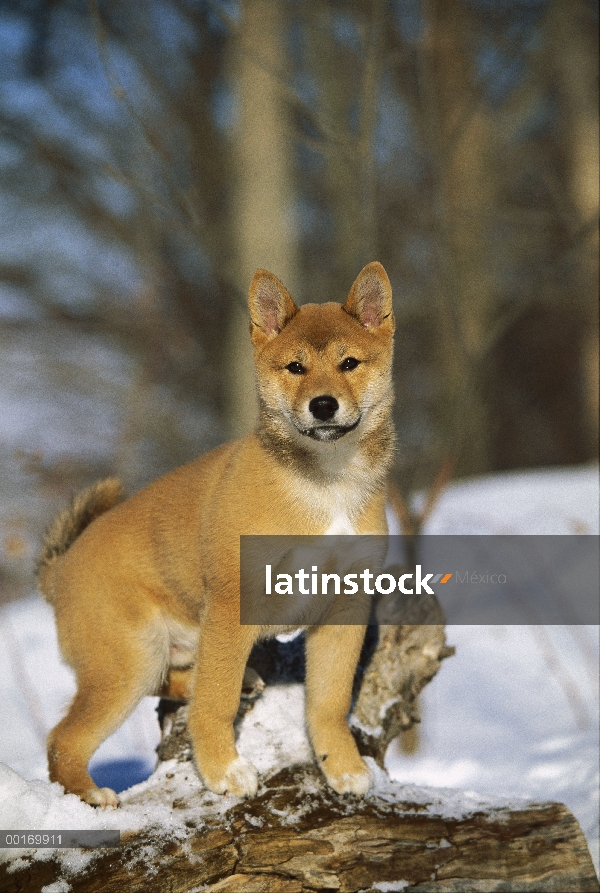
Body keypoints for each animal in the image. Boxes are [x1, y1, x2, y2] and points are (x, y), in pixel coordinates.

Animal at [37, 262, 394, 804]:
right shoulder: (233, 601)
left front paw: (343, 767)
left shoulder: (342, 609)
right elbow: (216, 704)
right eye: (295, 368)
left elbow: (328, 704)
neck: (325, 484)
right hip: (130, 660)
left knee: (180, 681)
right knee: (65, 740)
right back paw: (91, 796)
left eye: (349, 363)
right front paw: (223, 770)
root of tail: (61, 570)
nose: (323, 405)